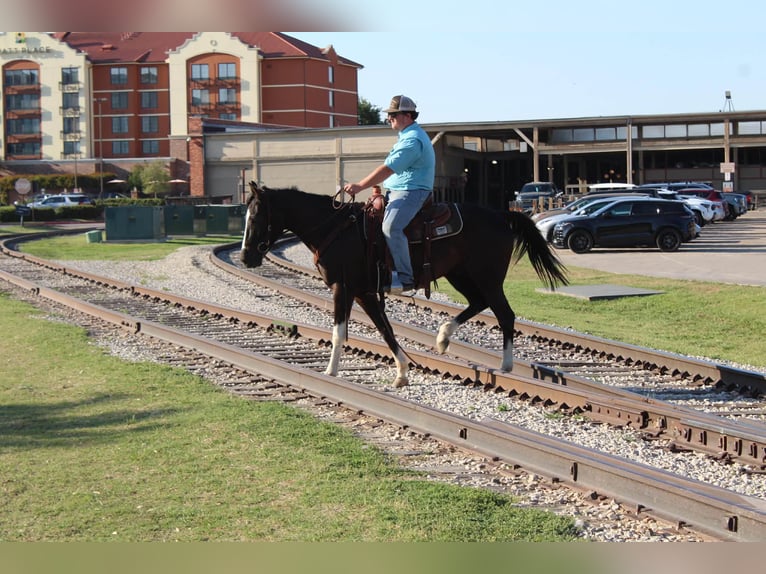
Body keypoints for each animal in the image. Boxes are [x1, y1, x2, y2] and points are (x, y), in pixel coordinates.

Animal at [240, 182, 568, 387]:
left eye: (255, 217)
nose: (245, 256)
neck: (335, 229)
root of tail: (501, 215)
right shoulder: (364, 292)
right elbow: (385, 330)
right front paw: (402, 372)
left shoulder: (342, 288)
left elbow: (339, 332)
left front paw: (330, 371)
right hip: (461, 275)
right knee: (480, 303)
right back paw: (443, 338)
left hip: (487, 277)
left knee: (504, 314)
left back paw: (506, 365)